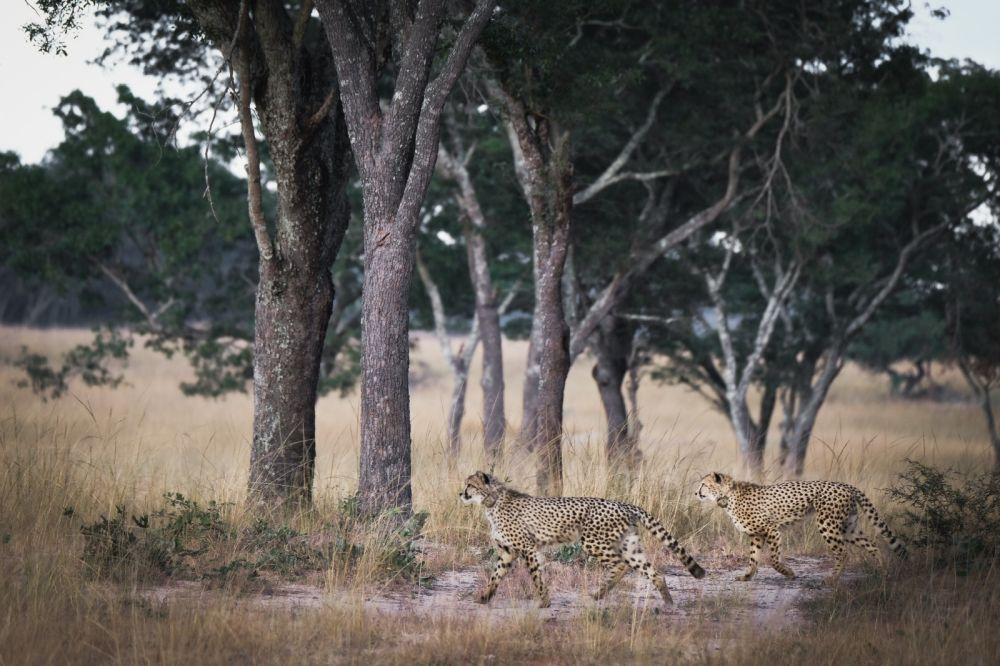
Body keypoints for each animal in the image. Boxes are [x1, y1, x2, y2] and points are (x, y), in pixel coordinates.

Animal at [458, 466, 704, 608]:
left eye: (469, 484)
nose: (461, 493)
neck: (492, 500)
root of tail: (624, 504)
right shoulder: (508, 552)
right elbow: (495, 575)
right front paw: (484, 597)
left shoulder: (528, 547)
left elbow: (536, 576)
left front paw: (544, 602)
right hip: (629, 545)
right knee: (654, 572)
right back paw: (668, 603)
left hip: (593, 542)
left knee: (620, 565)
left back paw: (599, 594)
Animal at [696, 472, 908, 580]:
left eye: (703, 485)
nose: (696, 493)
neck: (727, 496)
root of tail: (845, 485)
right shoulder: (756, 535)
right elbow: (753, 558)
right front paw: (747, 576)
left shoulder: (772, 530)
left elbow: (773, 559)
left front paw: (788, 573)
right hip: (849, 527)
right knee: (872, 545)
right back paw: (882, 570)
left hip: (827, 524)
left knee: (843, 552)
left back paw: (833, 578)